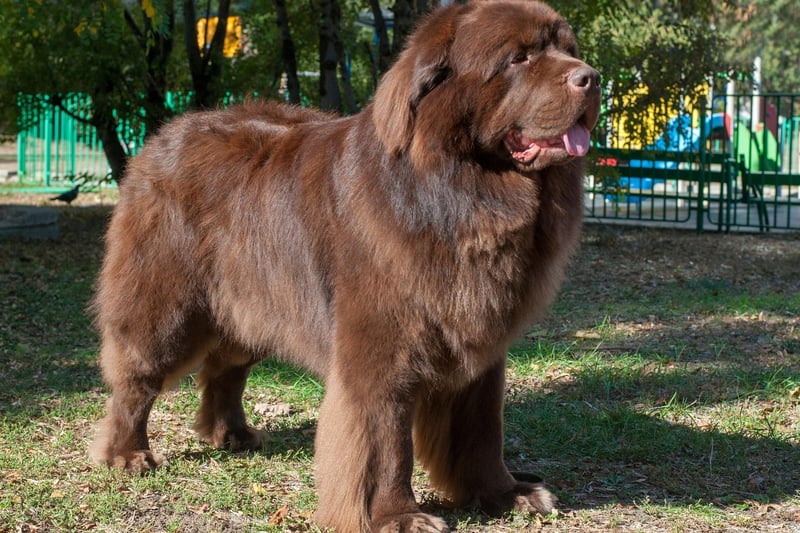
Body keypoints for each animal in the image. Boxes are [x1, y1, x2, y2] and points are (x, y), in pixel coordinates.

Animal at [89, 2, 600, 528]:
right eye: (518, 58)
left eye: (568, 49)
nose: (591, 77)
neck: (456, 192)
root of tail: (164, 135)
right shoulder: (381, 349)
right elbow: (384, 442)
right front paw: (396, 516)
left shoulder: (480, 343)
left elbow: (482, 429)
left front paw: (506, 493)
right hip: (167, 305)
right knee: (137, 376)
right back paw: (127, 453)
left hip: (252, 300)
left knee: (225, 366)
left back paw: (231, 434)